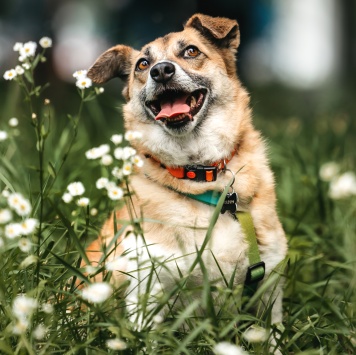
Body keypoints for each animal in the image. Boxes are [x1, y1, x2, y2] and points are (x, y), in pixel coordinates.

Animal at [87, 13, 290, 330]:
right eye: (142, 64)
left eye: (191, 51)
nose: (161, 71)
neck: (201, 176)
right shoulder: (148, 287)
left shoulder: (268, 285)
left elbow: (272, 332)